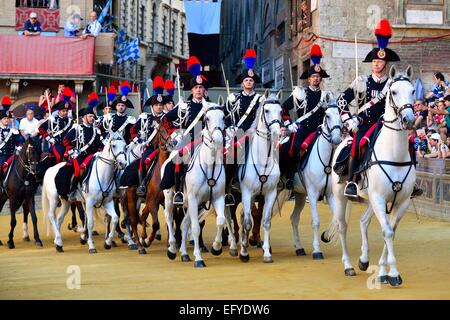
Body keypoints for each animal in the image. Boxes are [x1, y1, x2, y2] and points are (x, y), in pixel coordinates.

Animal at [163, 100, 229, 268]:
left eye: (223, 117)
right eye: (207, 119)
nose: (218, 139)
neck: (209, 165)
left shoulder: (217, 198)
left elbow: (220, 221)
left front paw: (216, 248)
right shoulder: (193, 199)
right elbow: (196, 228)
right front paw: (199, 258)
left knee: (184, 223)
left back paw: (184, 254)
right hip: (170, 197)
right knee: (169, 217)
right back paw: (172, 249)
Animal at [239, 90, 282, 262]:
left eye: (281, 111)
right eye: (267, 110)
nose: (277, 132)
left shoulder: (270, 193)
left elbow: (266, 221)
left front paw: (267, 253)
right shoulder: (246, 192)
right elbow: (247, 222)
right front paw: (244, 252)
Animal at [290, 97, 342, 258]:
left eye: (340, 114)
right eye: (327, 116)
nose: (337, 139)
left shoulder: (330, 195)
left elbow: (337, 218)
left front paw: (326, 236)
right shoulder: (312, 194)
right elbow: (316, 221)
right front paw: (317, 250)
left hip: (300, 195)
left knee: (294, 218)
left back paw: (299, 247)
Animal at [326, 64, 416, 284]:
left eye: (412, 91)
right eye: (394, 92)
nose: (409, 120)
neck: (395, 154)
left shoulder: (400, 201)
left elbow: (391, 231)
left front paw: (384, 272)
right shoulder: (378, 197)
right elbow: (387, 232)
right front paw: (394, 273)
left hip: (370, 201)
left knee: (363, 221)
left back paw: (364, 260)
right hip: (341, 197)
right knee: (342, 226)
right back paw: (348, 266)